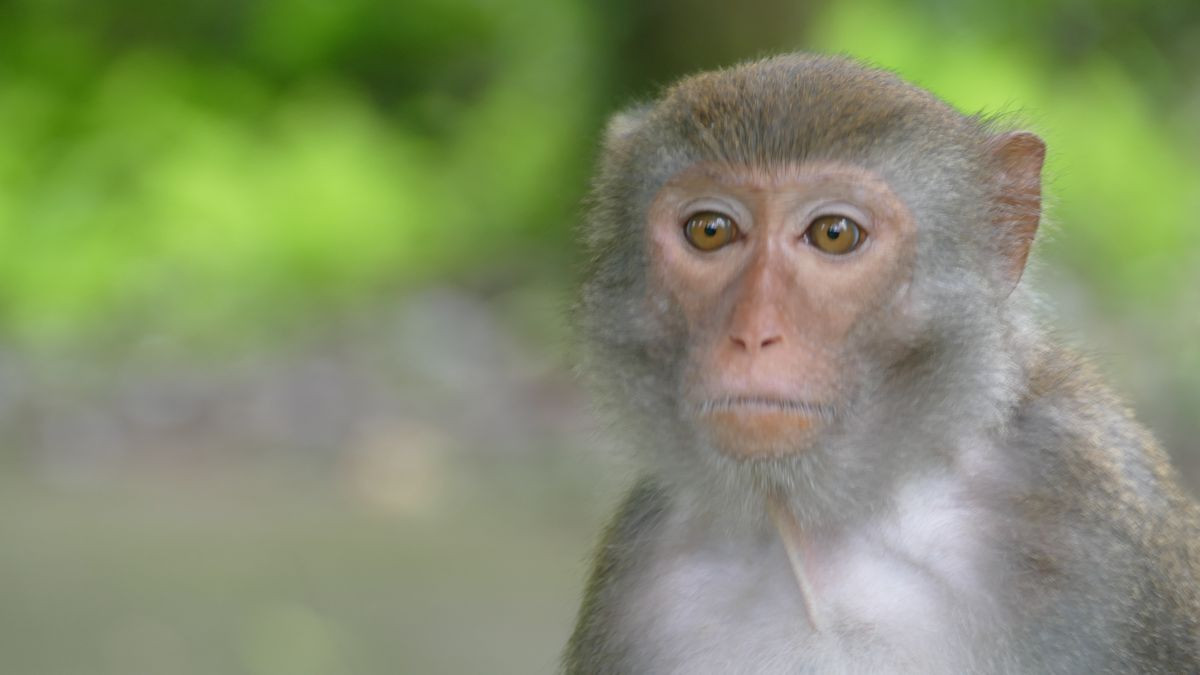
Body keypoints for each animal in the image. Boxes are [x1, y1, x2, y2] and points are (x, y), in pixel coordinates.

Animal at [564, 53, 1200, 672]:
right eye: (710, 230)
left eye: (834, 233)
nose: (751, 335)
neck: (831, 535)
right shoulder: (634, 576)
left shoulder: (1087, 497)